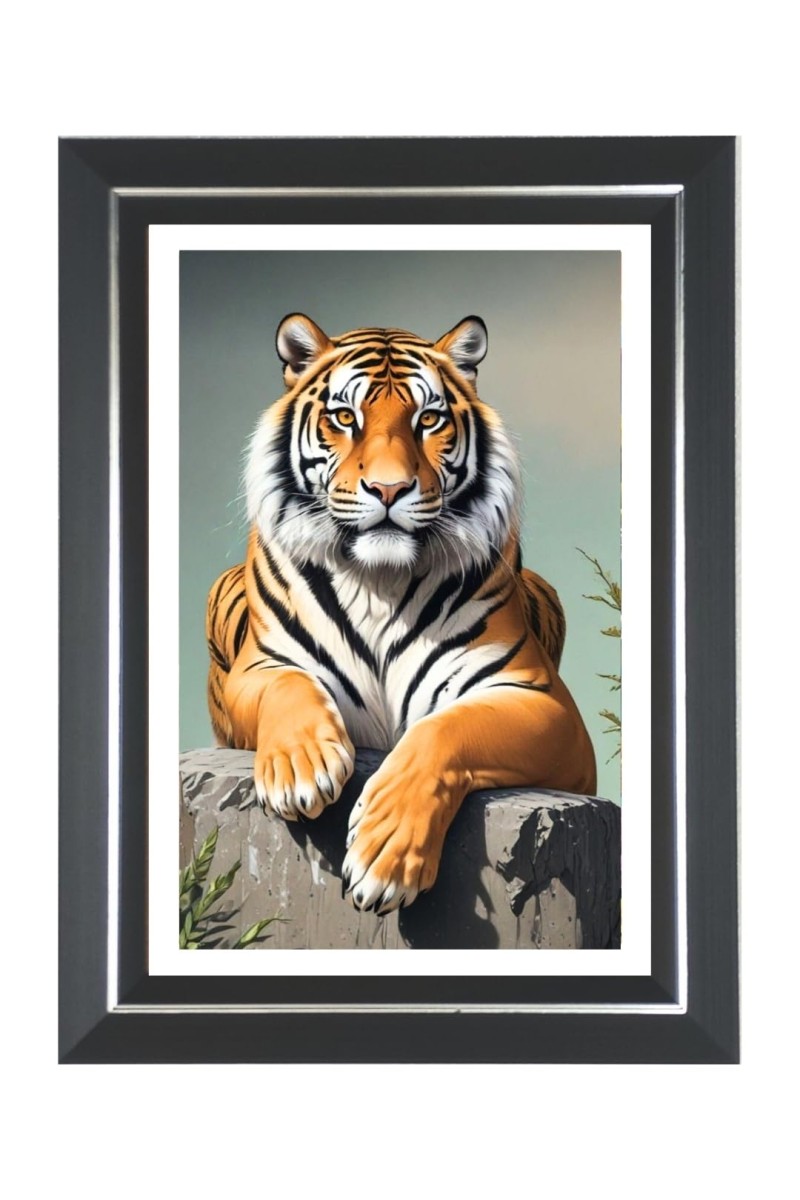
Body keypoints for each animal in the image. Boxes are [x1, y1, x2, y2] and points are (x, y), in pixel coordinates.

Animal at [206, 313, 597, 915]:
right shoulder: (258, 668)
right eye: (345, 417)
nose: (388, 489)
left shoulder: (545, 703)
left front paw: (385, 855)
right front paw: (301, 768)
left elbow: (447, 728)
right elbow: (290, 685)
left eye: (428, 419)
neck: (379, 582)